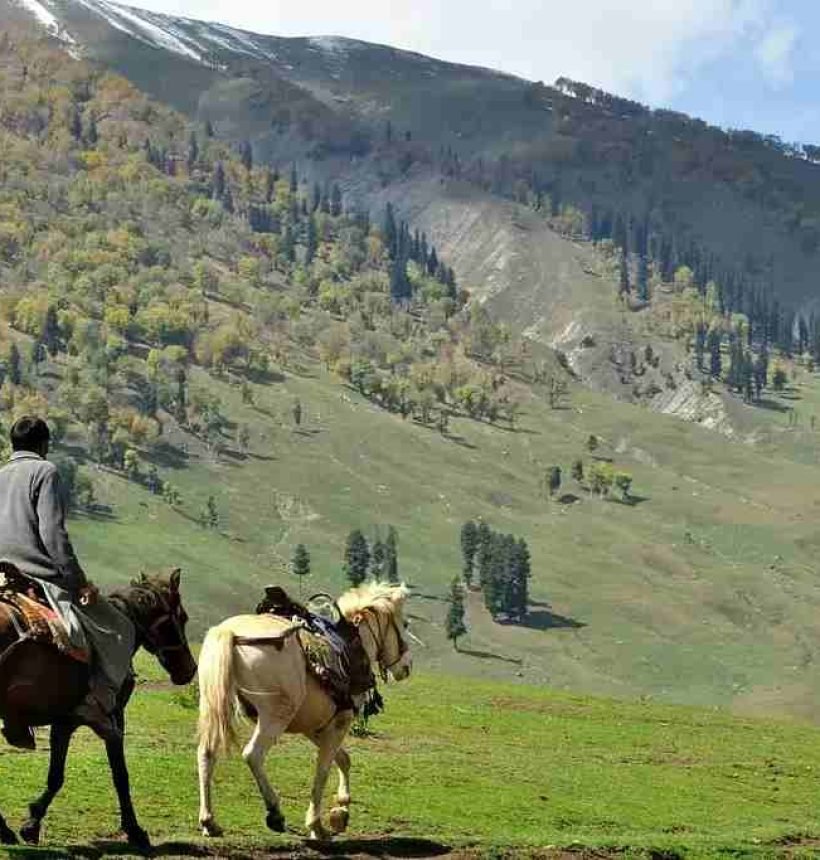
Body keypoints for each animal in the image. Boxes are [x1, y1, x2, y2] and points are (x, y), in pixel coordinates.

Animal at [0, 568, 195, 848]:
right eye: (183, 617)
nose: (189, 670)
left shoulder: (64, 722)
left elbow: (56, 775)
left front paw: (32, 823)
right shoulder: (110, 719)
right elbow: (119, 775)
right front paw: (134, 830)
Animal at [196, 584, 414, 840]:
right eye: (405, 624)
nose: (407, 666)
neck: (356, 644)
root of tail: (229, 632)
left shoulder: (314, 726)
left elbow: (343, 759)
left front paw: (341, 809)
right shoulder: (340, 722)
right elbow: (323, 769)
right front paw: (317, 825)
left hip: (213, 705)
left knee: (206, 752)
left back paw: (209, 821)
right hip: (275, 716)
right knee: (253, 755)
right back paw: (275, 813)